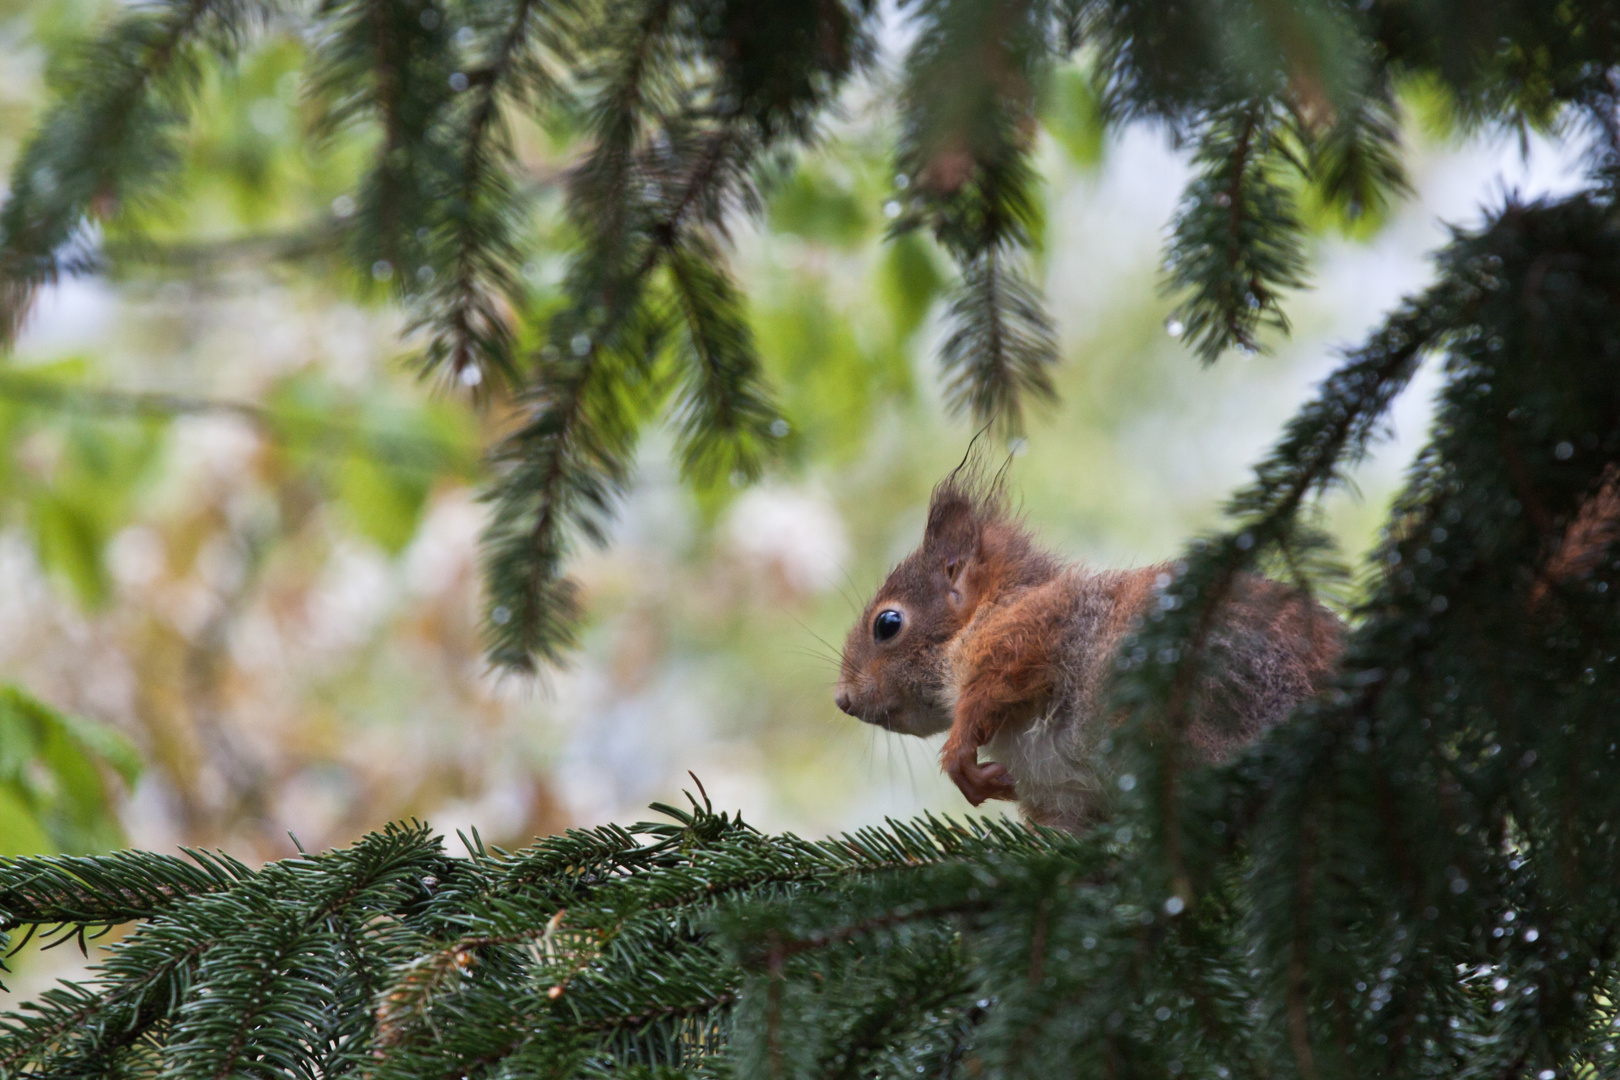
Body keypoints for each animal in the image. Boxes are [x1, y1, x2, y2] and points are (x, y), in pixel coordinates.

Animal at [835, 469, 1341, 835]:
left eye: (888, 624)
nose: (842, 700)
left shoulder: (1027, 631)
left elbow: (992, 688)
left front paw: (960, 758)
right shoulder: (1065, 803)